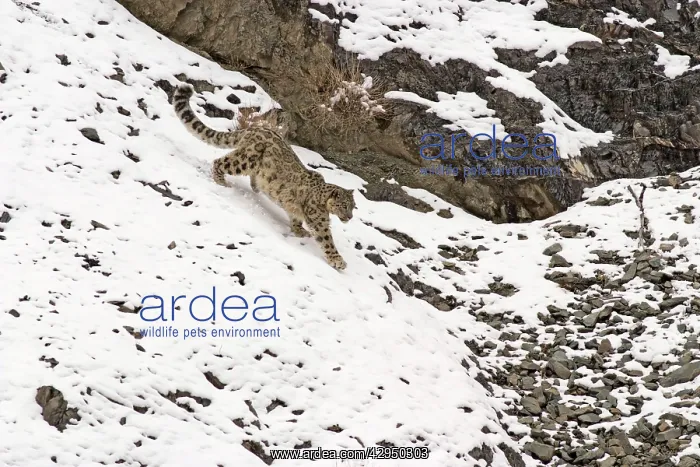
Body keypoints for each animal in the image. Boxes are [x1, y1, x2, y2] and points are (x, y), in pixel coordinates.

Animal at [171, 83, 356, 270]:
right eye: (343, 205)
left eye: (353, 207)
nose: (350, 217)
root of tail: (253, 128)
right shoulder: (318, 219)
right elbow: (326, 239)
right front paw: (338, 261)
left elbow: (295, 217)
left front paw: (298, 230)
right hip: (245, 159)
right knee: (221, 162)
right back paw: (221, 181)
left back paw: (255, 186)